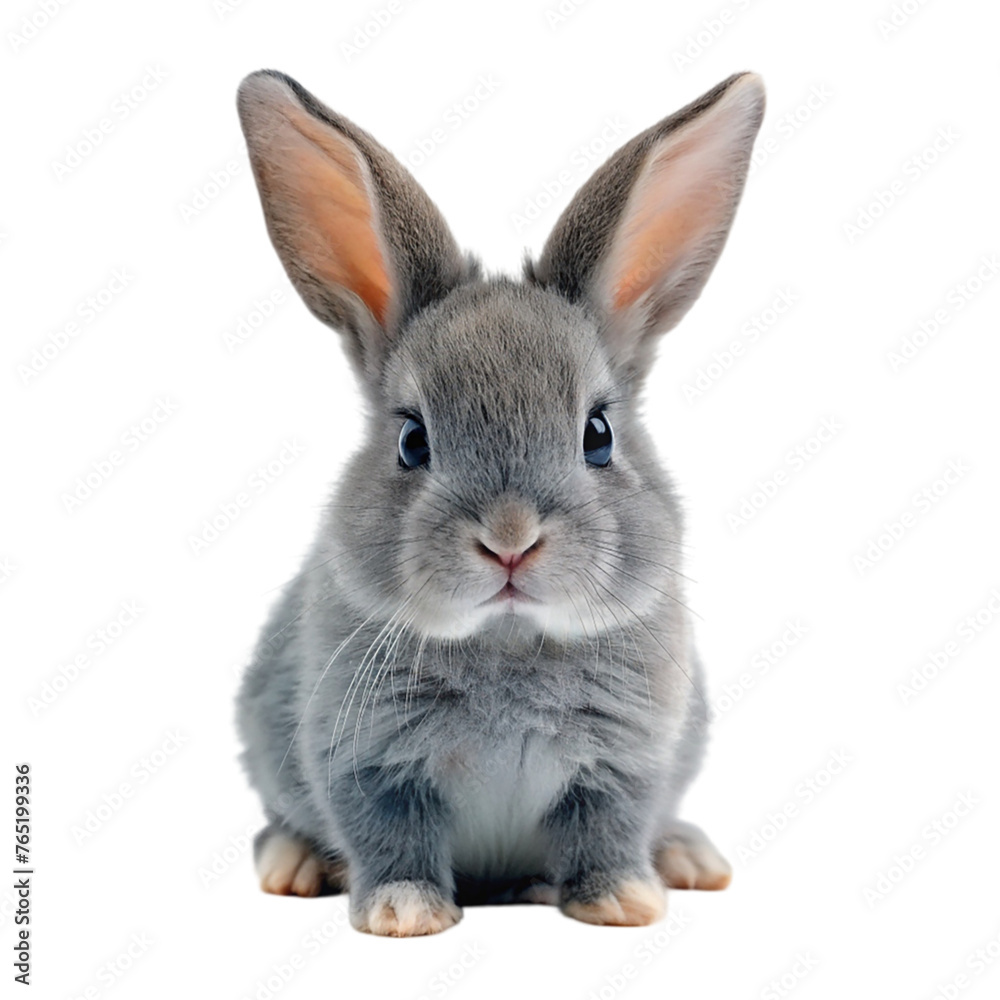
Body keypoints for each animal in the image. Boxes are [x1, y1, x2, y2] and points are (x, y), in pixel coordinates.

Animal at [234, 68, 765, 936]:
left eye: (597, 435)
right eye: (412, 440)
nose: (510, 538)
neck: (510, 641)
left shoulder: (625, 763)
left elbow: (606, 827)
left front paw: (623, 903)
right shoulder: (366, 760)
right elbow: (391, 835)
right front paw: (405, 914)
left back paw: (687, 858)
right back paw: (295, 863)